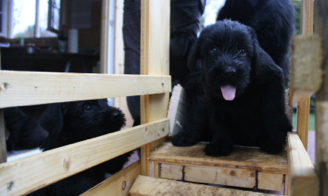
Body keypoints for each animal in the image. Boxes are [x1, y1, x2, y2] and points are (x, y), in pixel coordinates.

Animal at [187, 20, 292, 157]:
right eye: (213, 49)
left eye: (242, 50)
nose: (229, 72)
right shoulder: (213, 96)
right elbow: (217, 119)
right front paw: (220, 144)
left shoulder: (273, 78)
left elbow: (272, 110)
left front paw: (273, 141)